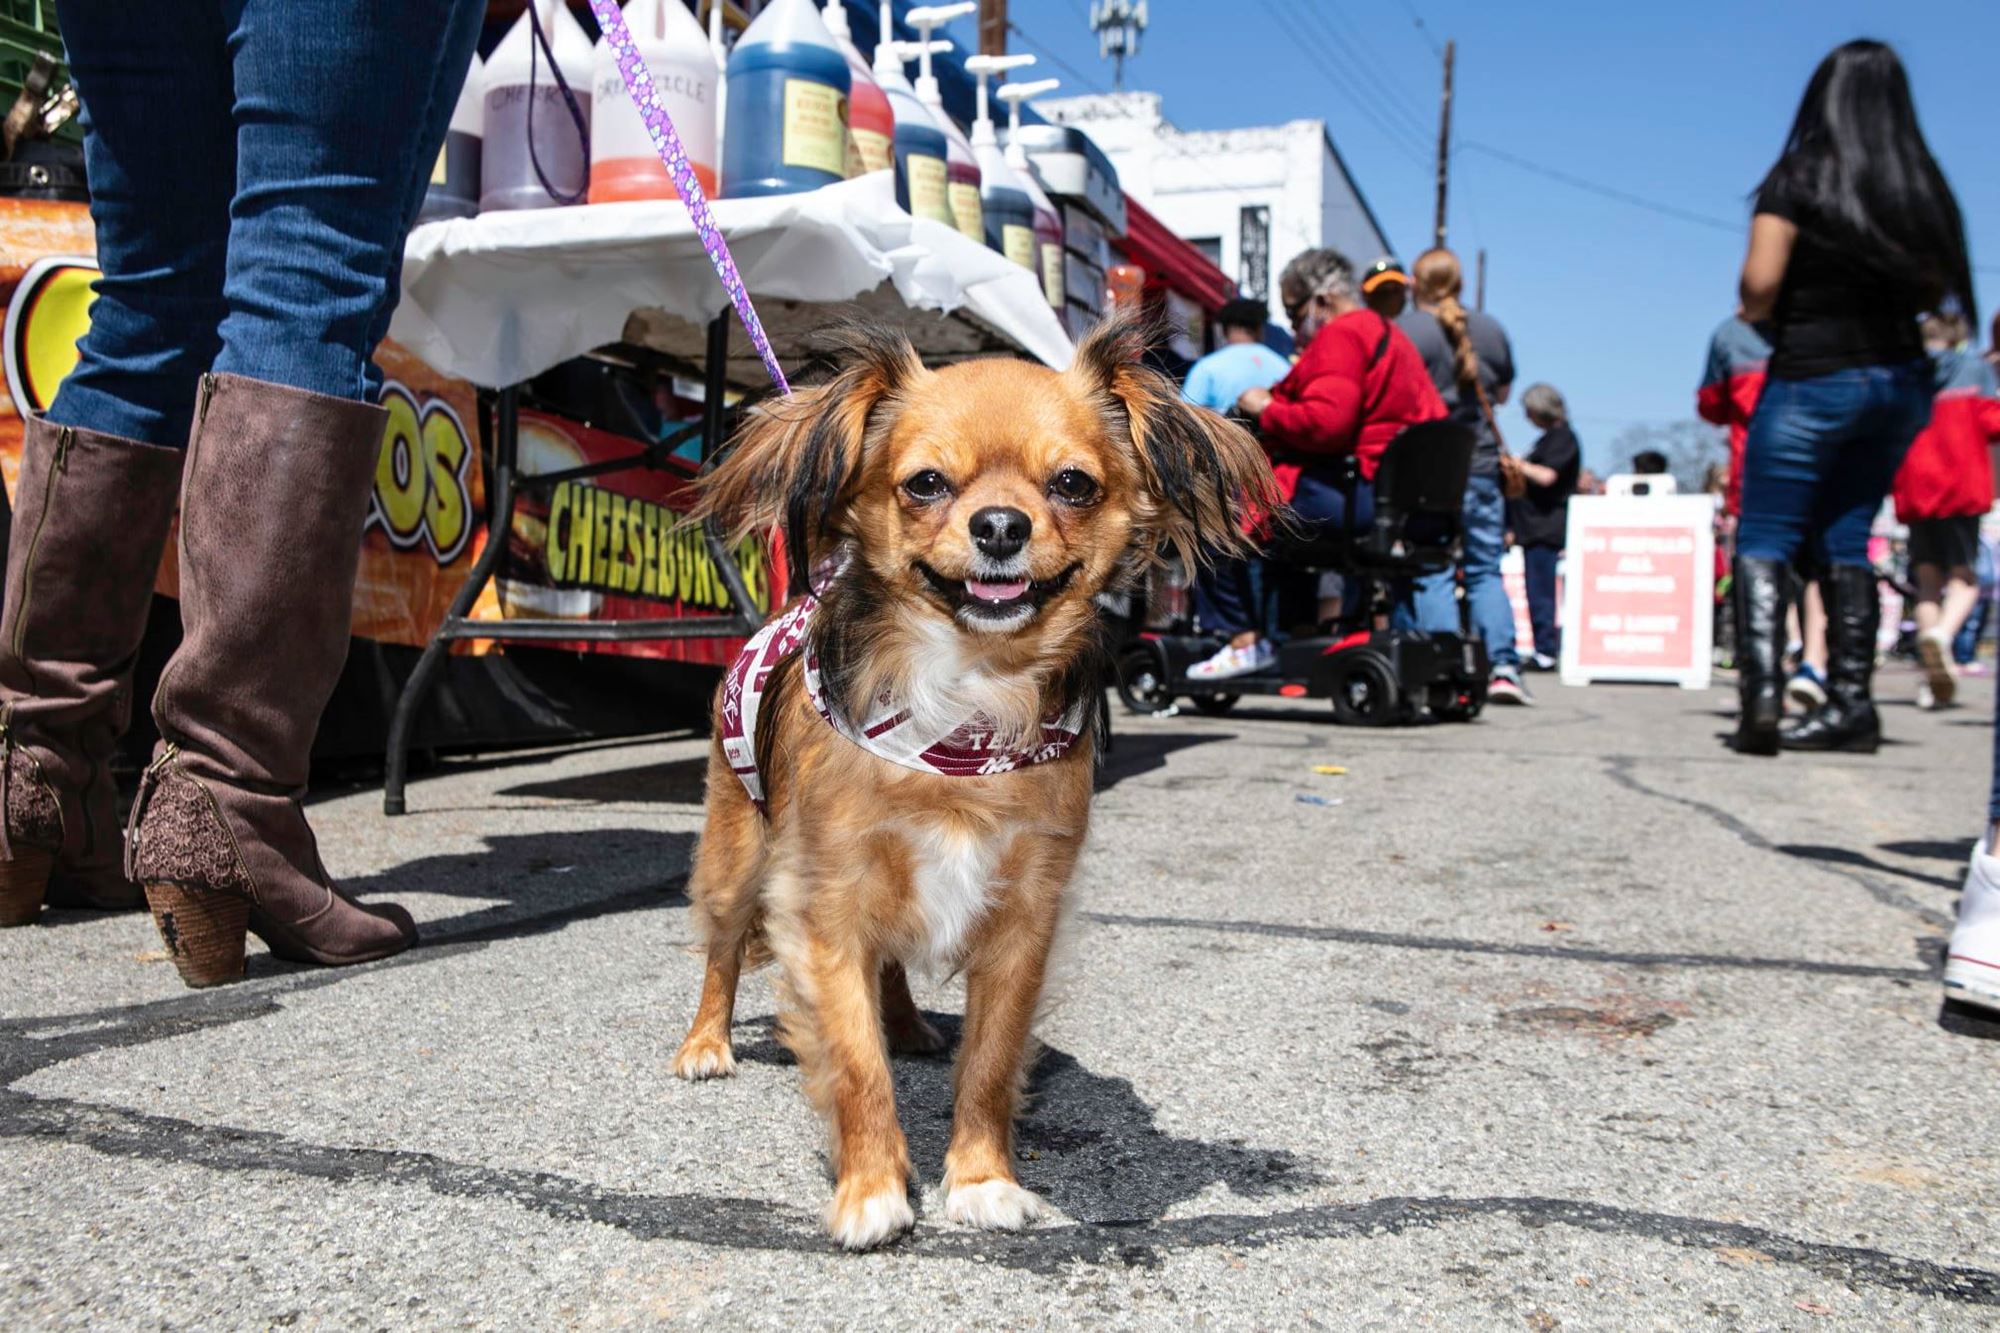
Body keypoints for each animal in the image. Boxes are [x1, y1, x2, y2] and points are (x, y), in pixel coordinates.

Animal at [672, 314, 1264, 1248]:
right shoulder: (827, 903)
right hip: (738, 856)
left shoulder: (1022, 916)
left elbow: (988, 1063)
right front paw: (872, 1189)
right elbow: (854, 1062)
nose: (999, 526)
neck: (964, 709)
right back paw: (705, 1043)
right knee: (723, 949)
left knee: (890, 968)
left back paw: (910, 1024)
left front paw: (982, 1179)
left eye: (1072, 483)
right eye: (925, 483)